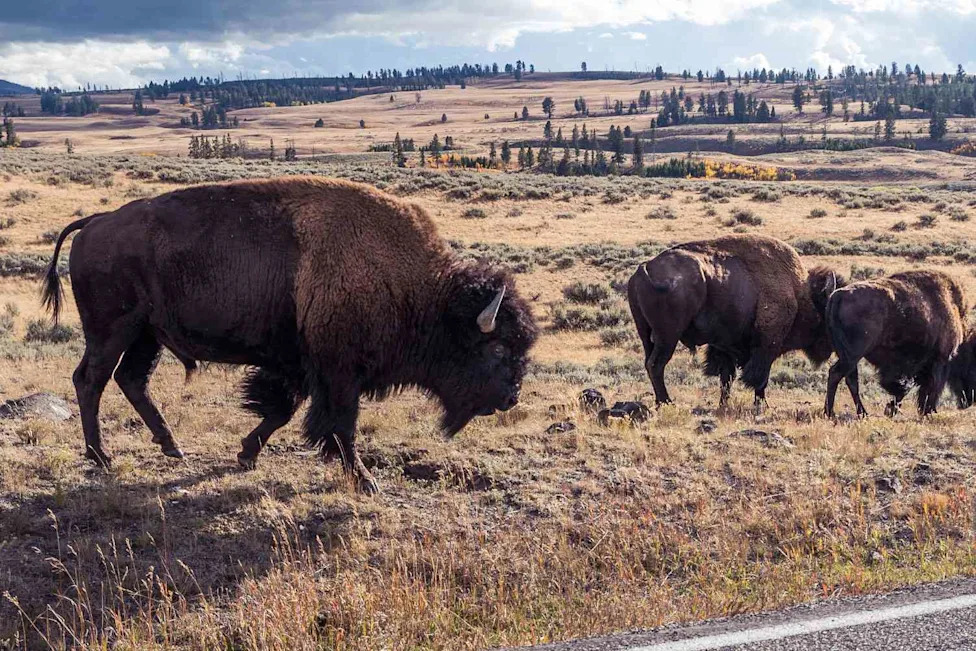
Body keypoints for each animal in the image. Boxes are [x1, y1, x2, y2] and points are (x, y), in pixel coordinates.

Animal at [42, 177, 538, 492]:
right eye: (497, 347)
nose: (511, 398)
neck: (419, 288)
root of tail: (95, 221)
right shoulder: (338, 374)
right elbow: (340, 426)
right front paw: (366, 481)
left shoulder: (300, 367)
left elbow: (281, 410)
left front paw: (246, 454)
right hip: (112, 330)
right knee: (91, 380)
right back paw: (101, 457)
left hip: (147, 335)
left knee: (131, 380)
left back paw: (172, 448)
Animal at [627, 234, 841, 408]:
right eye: (824, 317)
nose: (831, 346)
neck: (799, 292)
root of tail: (643, 268)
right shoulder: (766, 346)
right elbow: (759, 378)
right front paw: (763, 405)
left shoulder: (724, 346)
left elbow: (726, 378)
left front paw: (723, 405)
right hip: (668, 337)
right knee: (656, 365)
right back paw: (666, 402)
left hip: (646, 334)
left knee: (649, 363)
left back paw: (661, 401)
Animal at [824, 270, 966, 418]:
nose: (965, 401)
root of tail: (837, 295)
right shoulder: (940, 359)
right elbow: (931, 387)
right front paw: (928, 411)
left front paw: (892, 409)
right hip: (853, 355)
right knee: (839, 374)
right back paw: (839, 412)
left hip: (848, 356)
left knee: (848, 378)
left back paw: (850, 412)